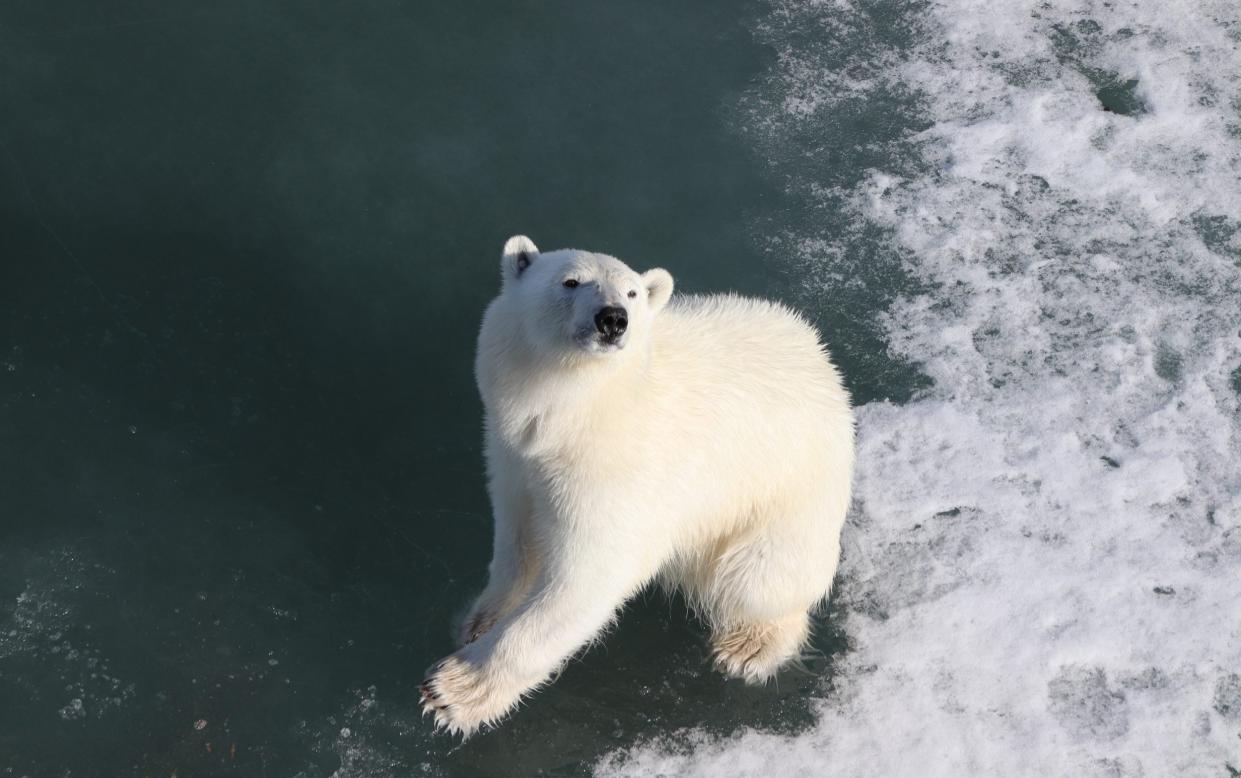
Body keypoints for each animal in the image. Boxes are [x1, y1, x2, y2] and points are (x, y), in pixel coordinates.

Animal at [421, 235, 858, 734]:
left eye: (631, 292)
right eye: (570, 281)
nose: (613, 318)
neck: (574, 415)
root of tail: (827, 367)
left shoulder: (616, 475)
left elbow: (587, 579)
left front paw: (454, 691)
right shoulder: (513, 455)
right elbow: (519, 539)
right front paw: (479, 620)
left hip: (783, 496)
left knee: (756, 578)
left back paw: (751, 645)